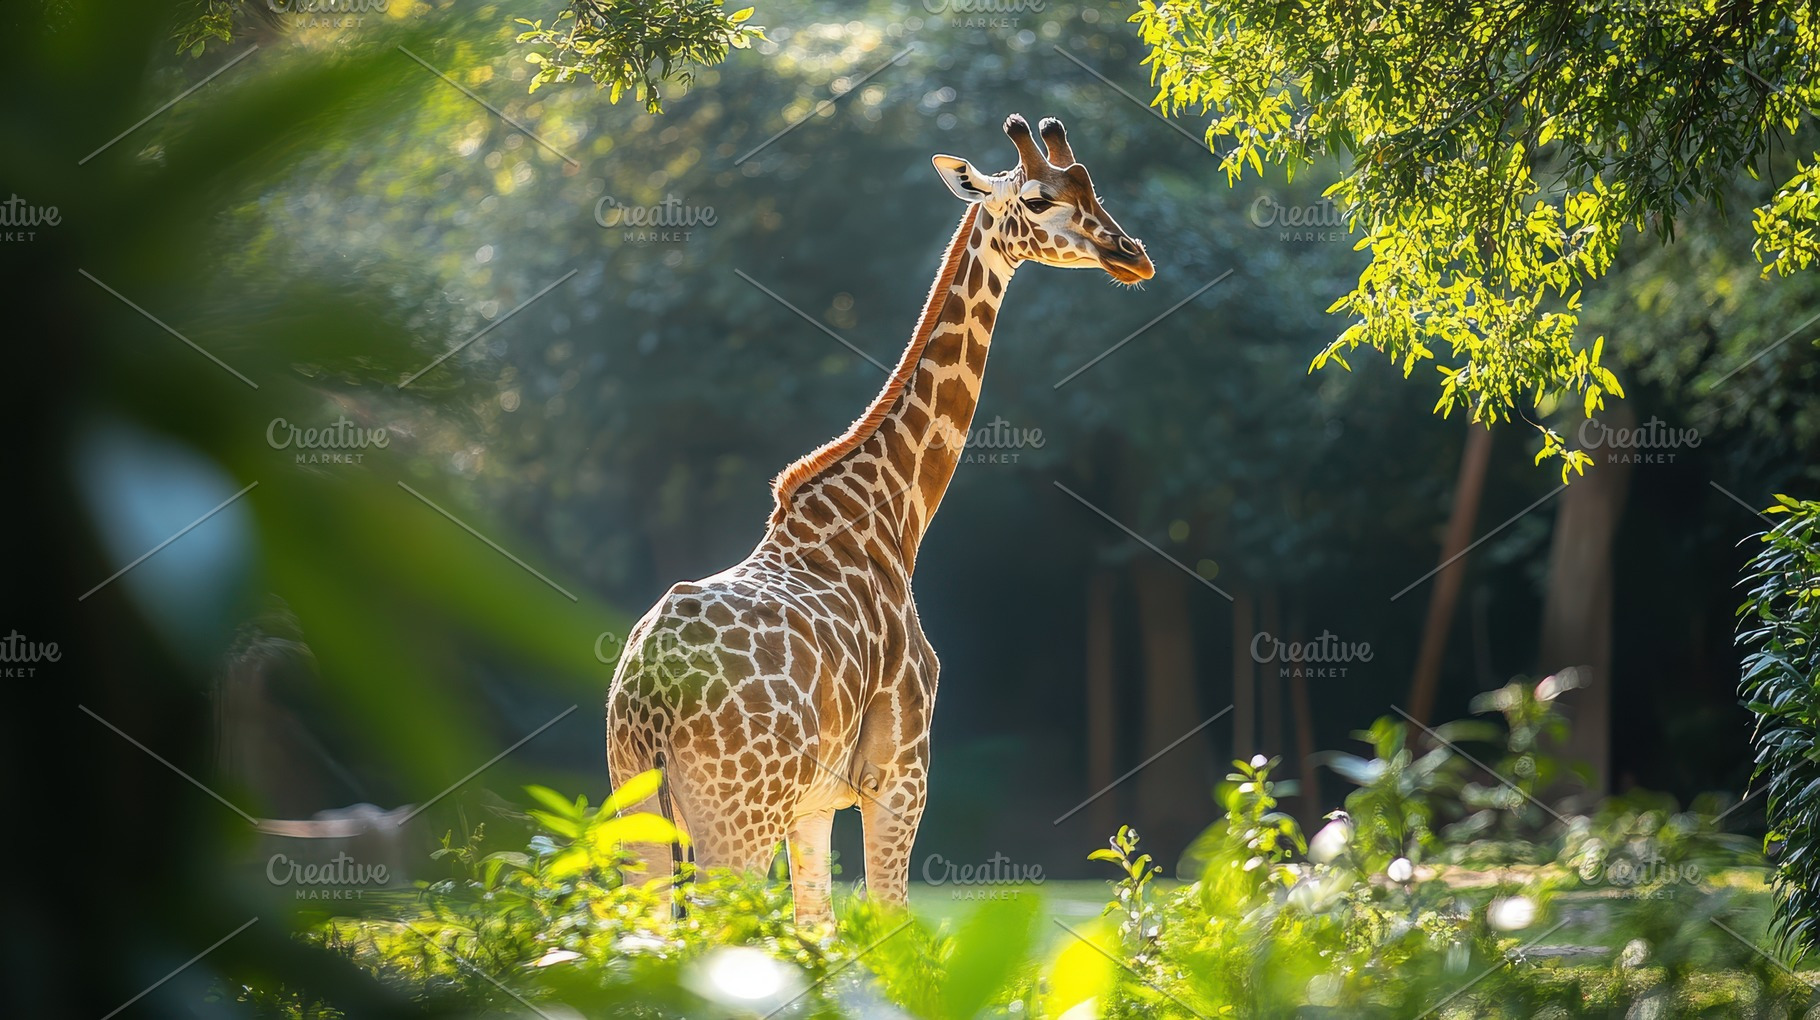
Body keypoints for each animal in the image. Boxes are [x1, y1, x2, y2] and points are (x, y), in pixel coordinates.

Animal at [605, 114, 1156, 925]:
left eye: (1096, 188)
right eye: (1038, 197)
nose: (1132, 254)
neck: (892, 516)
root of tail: (646, 694)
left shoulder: (811, 806)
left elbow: (817, 926)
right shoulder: (899, 775)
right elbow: (889, 922)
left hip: (639, 811)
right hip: (732, 817)